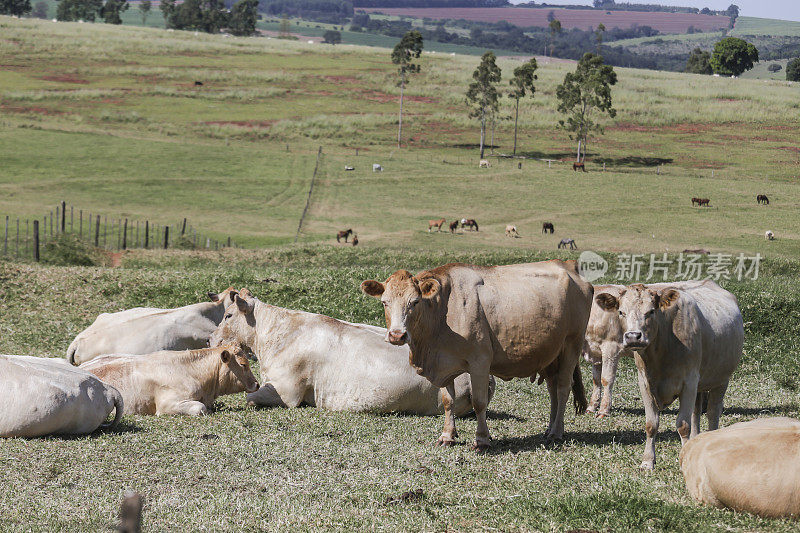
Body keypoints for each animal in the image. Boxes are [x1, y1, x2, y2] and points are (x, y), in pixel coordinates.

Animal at [360, 260, 592, 450]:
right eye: (385, 302)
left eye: (415, 302)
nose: (397, 335)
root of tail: (569, 266)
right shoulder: (445, 364)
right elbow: (448, 401)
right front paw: (447, 436)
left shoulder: (480, 362)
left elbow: (479, 402)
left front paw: (481, 440)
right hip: (551, 354)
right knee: (553, 390)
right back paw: (550, 428)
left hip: (571, 344)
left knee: (563, 388)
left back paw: (556, 432)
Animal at [592, 280, 744, 468]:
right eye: (621, 312)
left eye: (651, 311)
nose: (633, 336)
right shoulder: (645, 383)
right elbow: (651, 424)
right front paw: (648, 461)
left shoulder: (689, 382)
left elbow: (683, 425)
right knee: (696, 412)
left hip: (721, 380)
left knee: (712, 413)